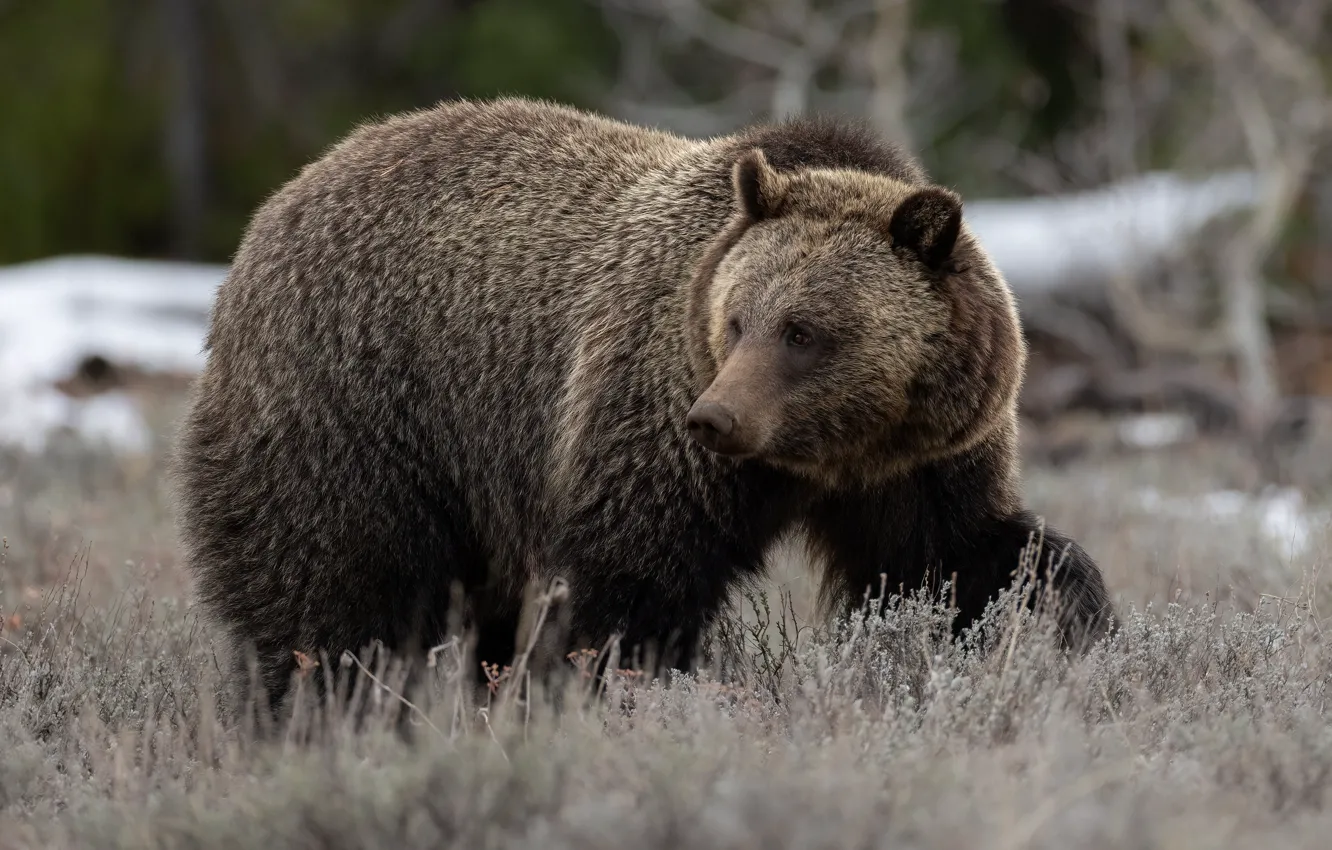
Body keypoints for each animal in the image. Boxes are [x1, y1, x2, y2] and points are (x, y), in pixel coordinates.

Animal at [171, 96, 1114, 722]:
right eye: (737, 320)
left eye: (804, 330)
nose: (716, 417)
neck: (825, 454)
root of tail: (282, 200)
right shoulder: (648, 413)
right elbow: (628, 584)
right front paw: (609, 692)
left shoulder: (919, 462)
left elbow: (962, 562)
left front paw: (1070, 633)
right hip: (363, 403)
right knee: (333, 586)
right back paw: (323, 708)